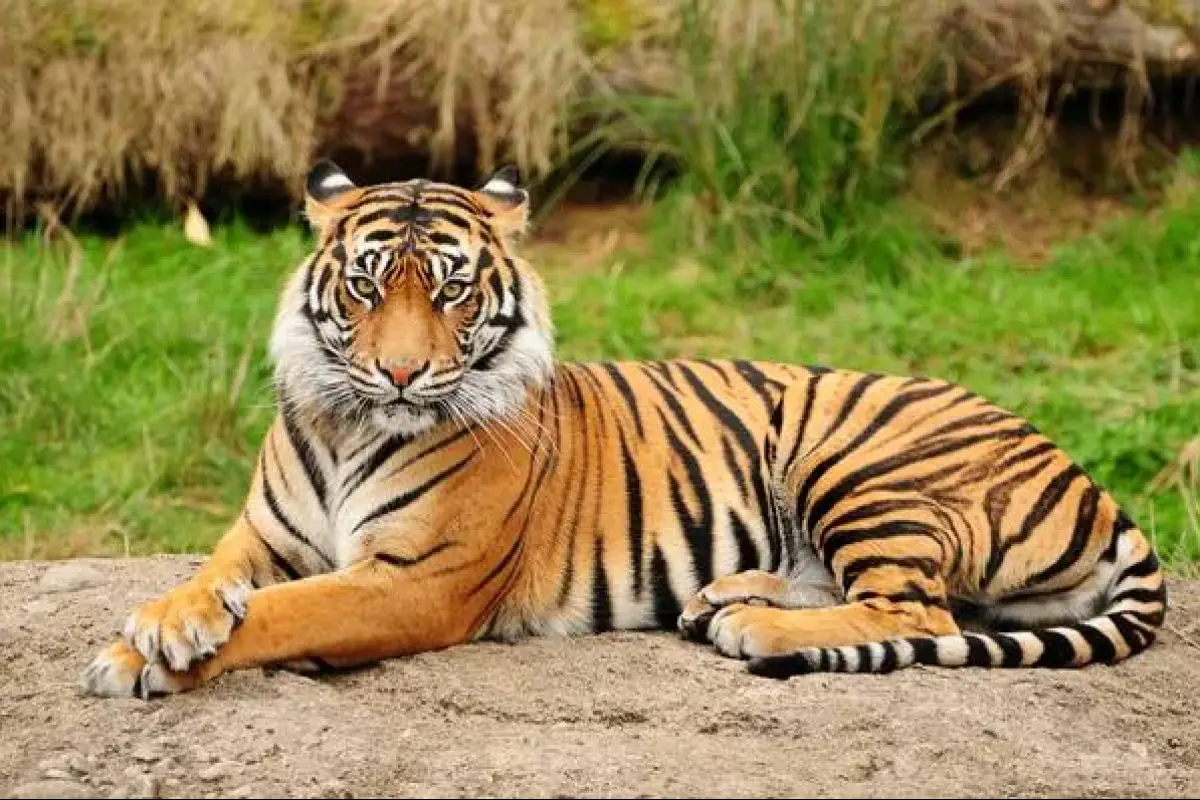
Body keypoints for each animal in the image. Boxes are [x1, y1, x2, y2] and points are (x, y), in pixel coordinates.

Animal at [81, 161, 1167, 698]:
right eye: (365, 285)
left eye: (451, 290)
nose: (399, 371)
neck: (352, 424)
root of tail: (1090, 478)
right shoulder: (260, 536)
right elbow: (214, 582)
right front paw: (160, 627)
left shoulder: (415, 580)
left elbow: (286, 613)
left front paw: (148, 658)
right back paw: (724, 596)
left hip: (858, 458)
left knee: (921, 611)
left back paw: (753, 623)